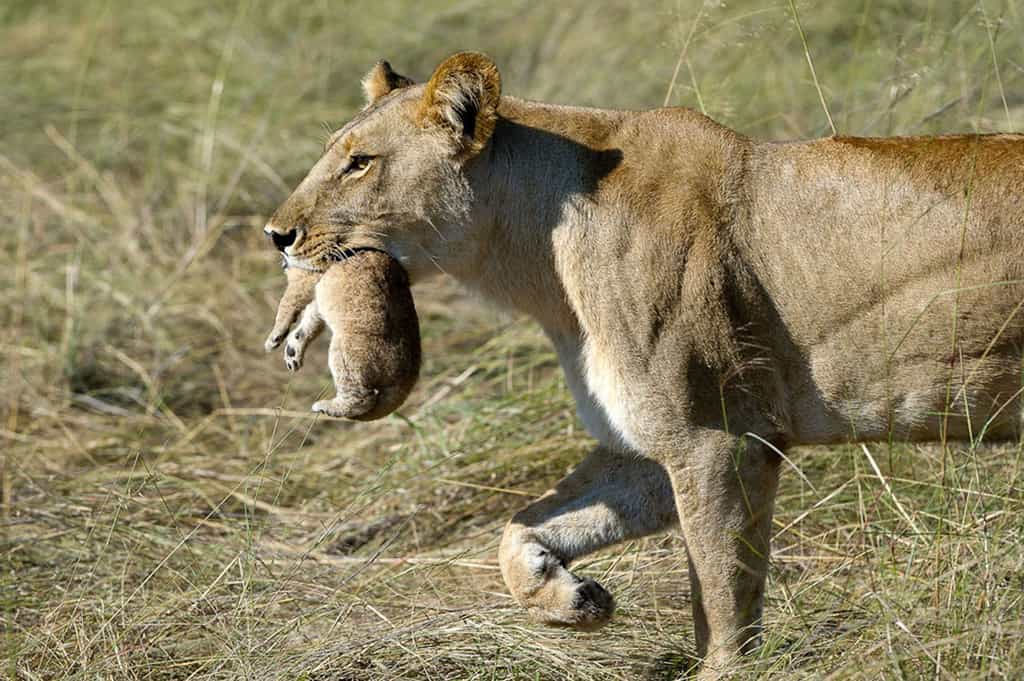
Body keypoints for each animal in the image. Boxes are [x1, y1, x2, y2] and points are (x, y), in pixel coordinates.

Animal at [262, 53, 1024, 677]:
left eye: (360, 162)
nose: (276, 234)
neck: (537, 261)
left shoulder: (718, 439)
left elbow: (721, 597)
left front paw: (720, 670)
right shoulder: (648, 445)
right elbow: (521, 527)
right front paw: (569, 597)